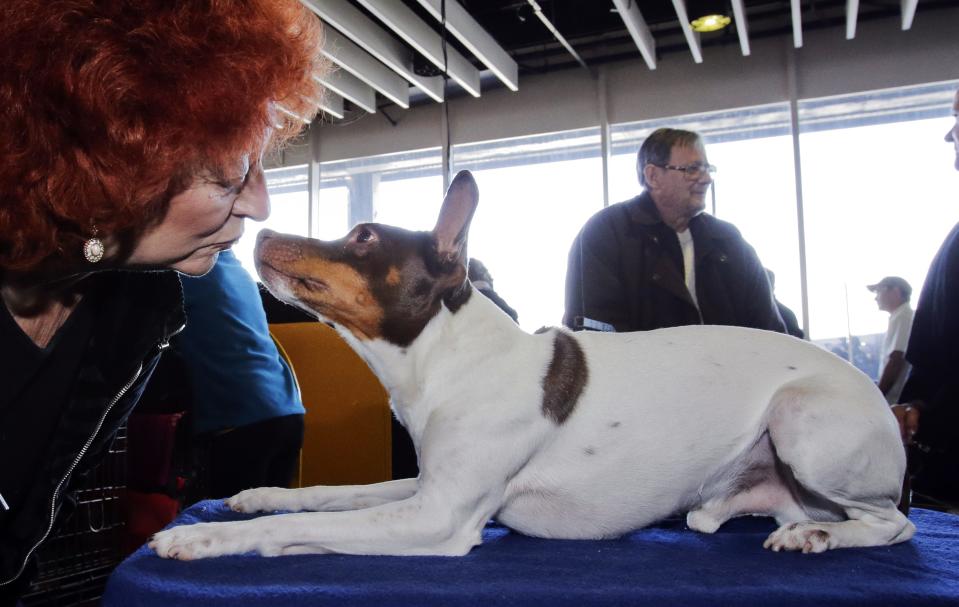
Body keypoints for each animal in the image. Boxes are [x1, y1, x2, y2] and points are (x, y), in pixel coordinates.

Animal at [150, 170, 916, 560]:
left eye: (362, 236)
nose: (260, 230)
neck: (448, 361)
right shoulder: (423, 486)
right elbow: (325, 498)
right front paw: (255, 496)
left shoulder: (439, 517)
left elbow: (298, 528)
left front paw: (204, 536)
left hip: (801, 419)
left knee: (893, 525)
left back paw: (817, 535)